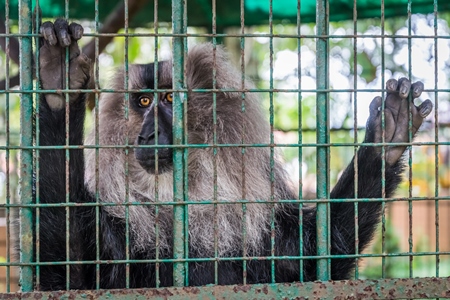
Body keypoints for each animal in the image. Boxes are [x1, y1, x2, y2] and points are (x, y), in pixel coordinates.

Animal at [31, 19, 432, 290]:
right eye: (143, 102)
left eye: (170, 98)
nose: (147, 134)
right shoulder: (117, 236)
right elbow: (67, 277)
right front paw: (59, 84)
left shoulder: (269, 234)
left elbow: (321, 256)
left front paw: (385, 138)